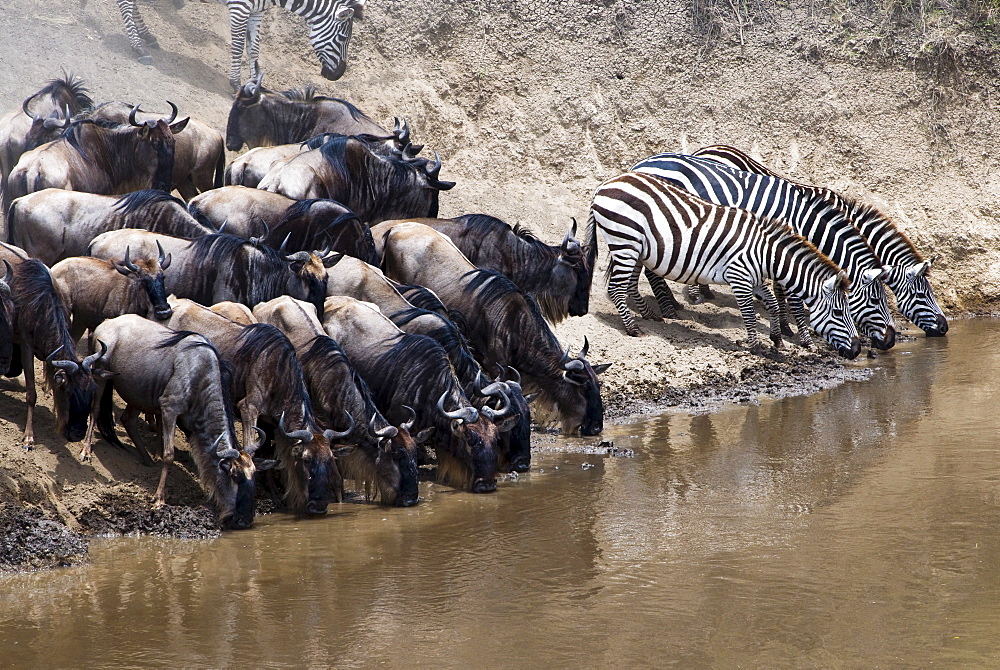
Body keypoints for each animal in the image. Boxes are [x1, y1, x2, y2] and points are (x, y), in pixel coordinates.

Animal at [588, 173, 864, 362]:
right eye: (839, 313)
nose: (857, 349)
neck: (766, 254)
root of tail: (606, 184)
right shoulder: (739, 277)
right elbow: (749, 313)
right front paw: (756, 346)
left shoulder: (755, 279)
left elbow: (772, 304)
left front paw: (777, 339)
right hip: (625, 242)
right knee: (615, 289)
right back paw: (633, 329)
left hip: (636, 249)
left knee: (629, 285)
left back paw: (649, 316)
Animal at [632, 152, 900, 352]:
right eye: (876, 301)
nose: (890, 341)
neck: (804, 222)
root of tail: (642, 163)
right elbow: (790, 294)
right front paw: (803, 337)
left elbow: (779, 288)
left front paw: (783, 328)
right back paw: (668, 309)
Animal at [692, 145, 948, 338]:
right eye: (923, 295)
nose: (945, 328)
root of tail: (707, 149)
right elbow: (786, 286)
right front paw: (790, 325)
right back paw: (696, 295)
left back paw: (705, 290)